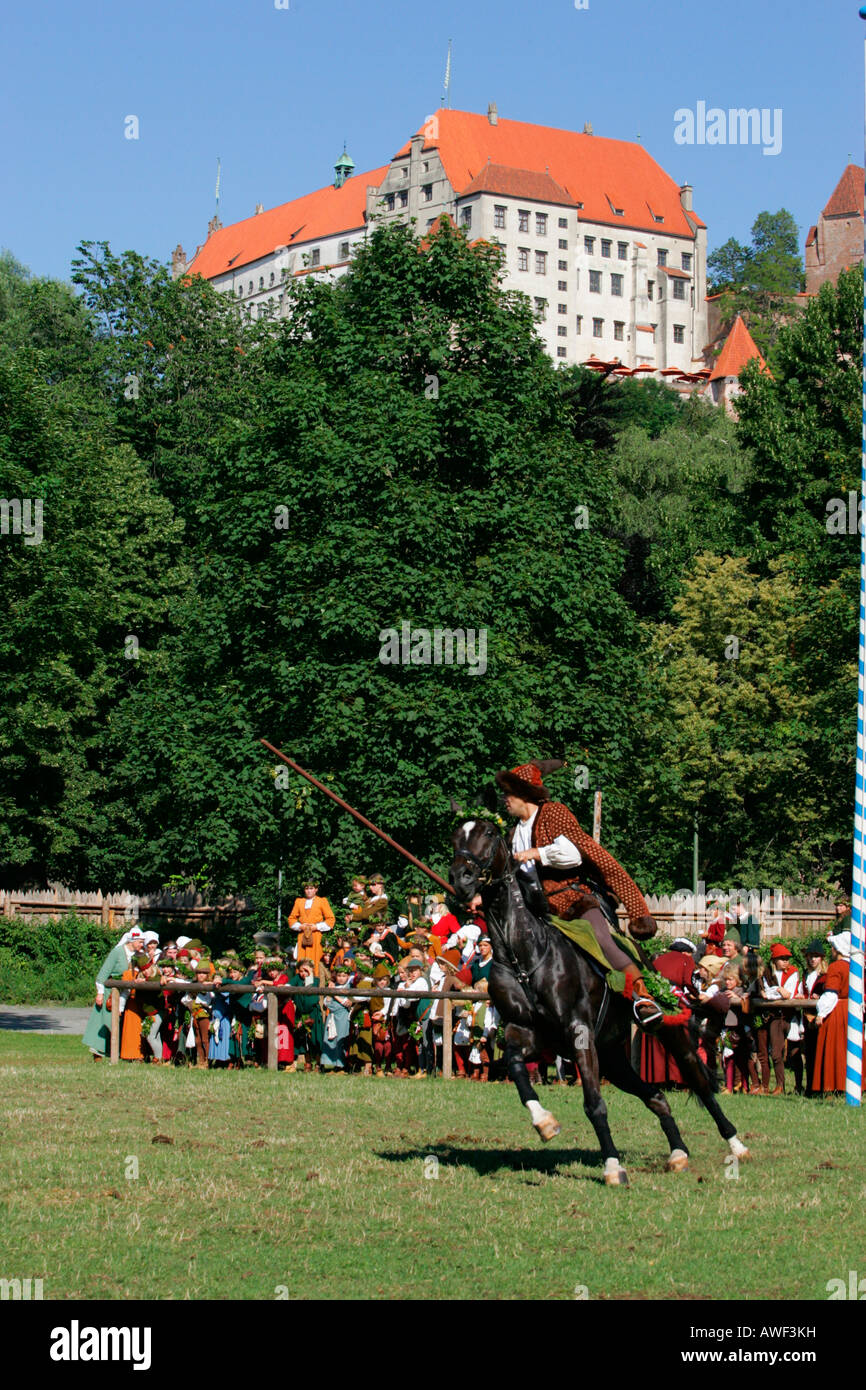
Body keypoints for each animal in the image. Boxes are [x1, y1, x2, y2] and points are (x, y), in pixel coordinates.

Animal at [450, 817, 750, 1189]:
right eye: (455, 837)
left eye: (488, 834)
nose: (460, 878)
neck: (525, 956)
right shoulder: (527, 1034)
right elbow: (516, 1067)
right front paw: (544, 1122)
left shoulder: (579, 1033)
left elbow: (594, 1103)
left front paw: (612, 1167)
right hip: (612, 1058)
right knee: (657, 1097)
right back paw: (678, 1153)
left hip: (666, 1035)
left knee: (700, 1083)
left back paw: (736, 1145)